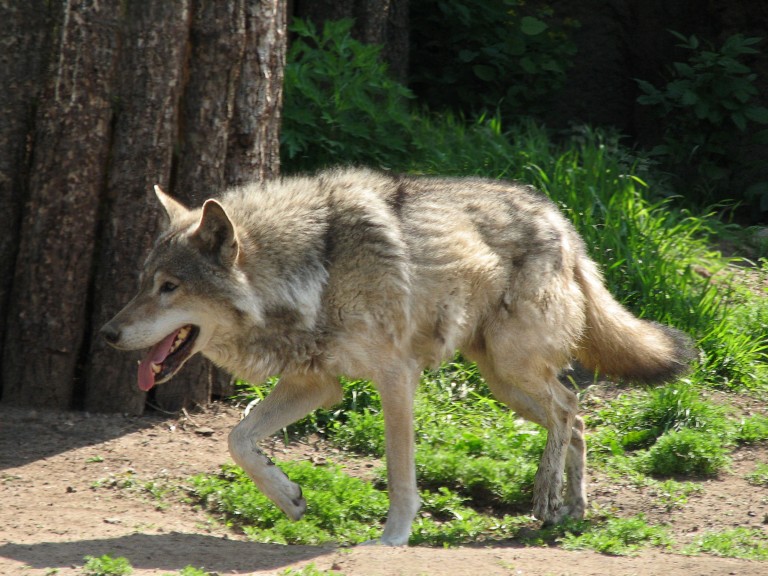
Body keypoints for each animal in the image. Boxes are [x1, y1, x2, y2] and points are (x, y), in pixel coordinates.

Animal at [102, 166, 696, 544]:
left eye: (170, 288)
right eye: (142, 282)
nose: (108, 333)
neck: (313, 272)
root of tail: (565, 224)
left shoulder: (395, 377)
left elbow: (400, 473)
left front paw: (392, 539)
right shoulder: (317, 384)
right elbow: (239, 439)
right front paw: (289, 498)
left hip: (512, 369)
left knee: (567, 410)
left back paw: (547, 499)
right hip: (505, 383)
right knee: (576, 416)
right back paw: (572, 510)